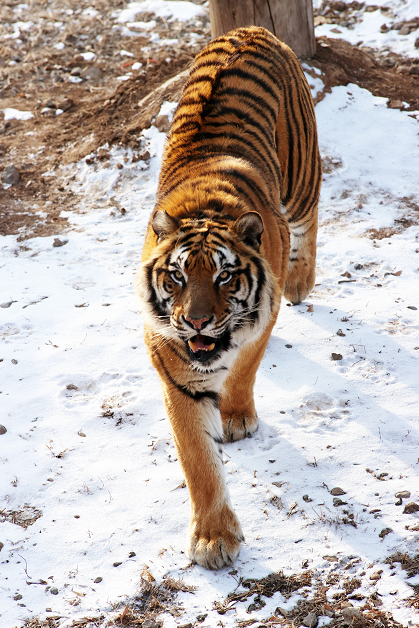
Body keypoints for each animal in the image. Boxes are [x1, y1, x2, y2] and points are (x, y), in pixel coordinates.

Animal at [138, 25, 322, 568]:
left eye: (224, 277)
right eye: (177, 276)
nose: (197, 322)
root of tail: (251, 29)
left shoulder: (262, 317)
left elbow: (243, 368)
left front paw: (235, 418)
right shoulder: (173, 366)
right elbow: (197, 459)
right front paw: (214, 538)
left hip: (301, 177)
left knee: (311, 217)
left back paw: (303, 279)